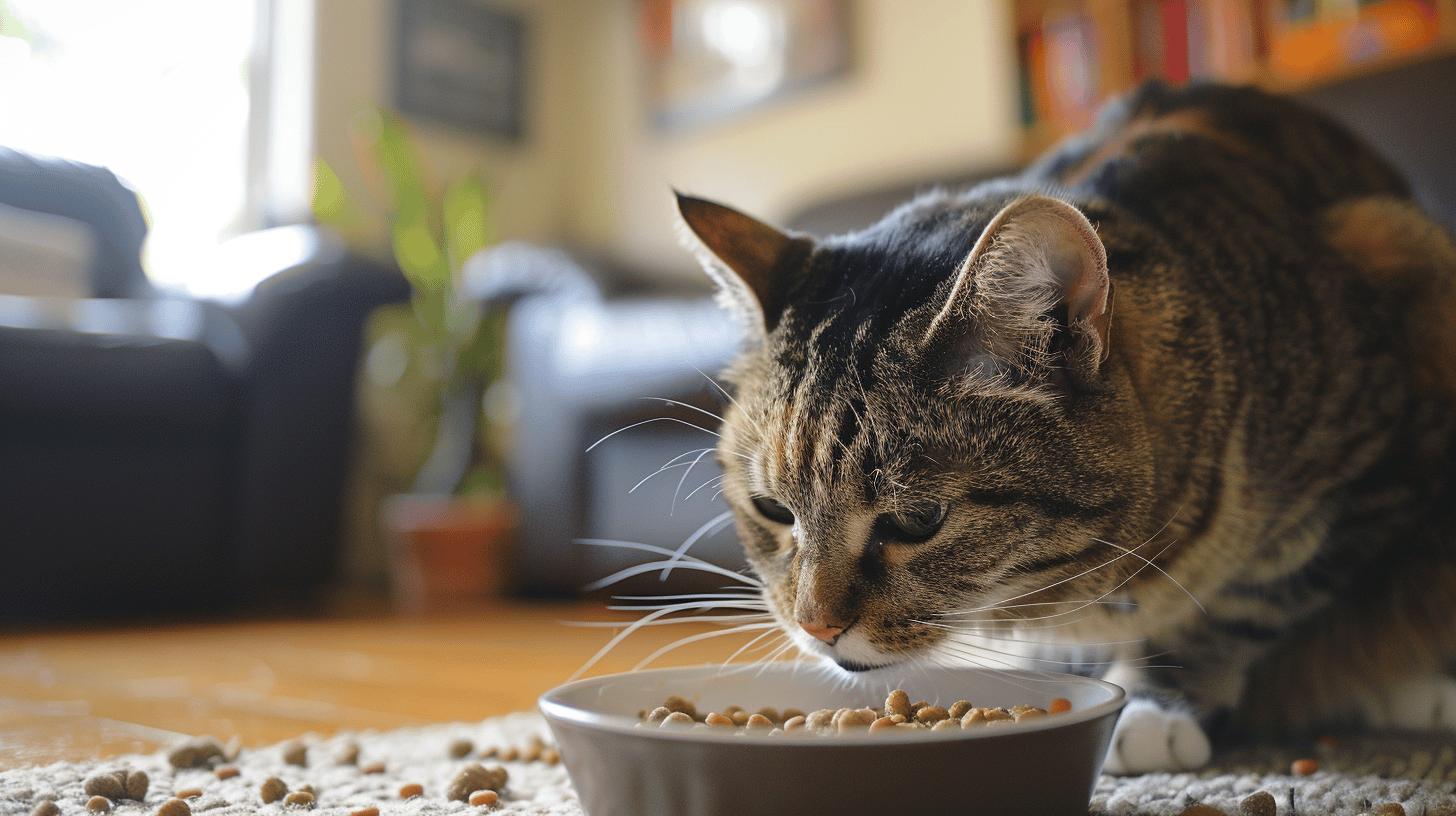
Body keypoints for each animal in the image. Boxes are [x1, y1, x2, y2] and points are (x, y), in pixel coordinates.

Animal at [675, 81, 1456, 769]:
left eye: (918, 521)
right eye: (772, 510)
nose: (816, 626)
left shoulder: (1376, 448)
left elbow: (1239, 601)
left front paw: (1157, 701)